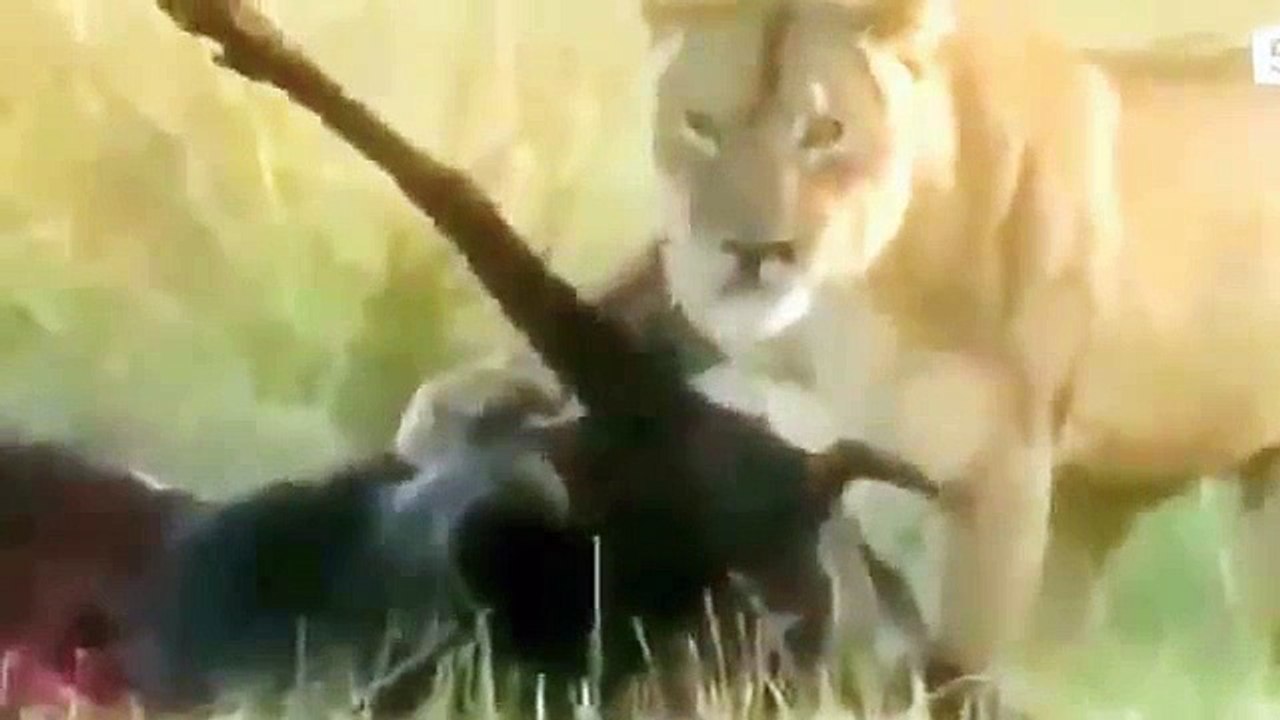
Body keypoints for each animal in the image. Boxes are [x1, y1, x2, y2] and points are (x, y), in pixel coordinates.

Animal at [642, 0, 1280, 695]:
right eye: (700, 126)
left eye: (824, 131)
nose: (753, 252)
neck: (837, 321)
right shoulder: (814, 476)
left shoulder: (999, 482)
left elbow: (959, 667)